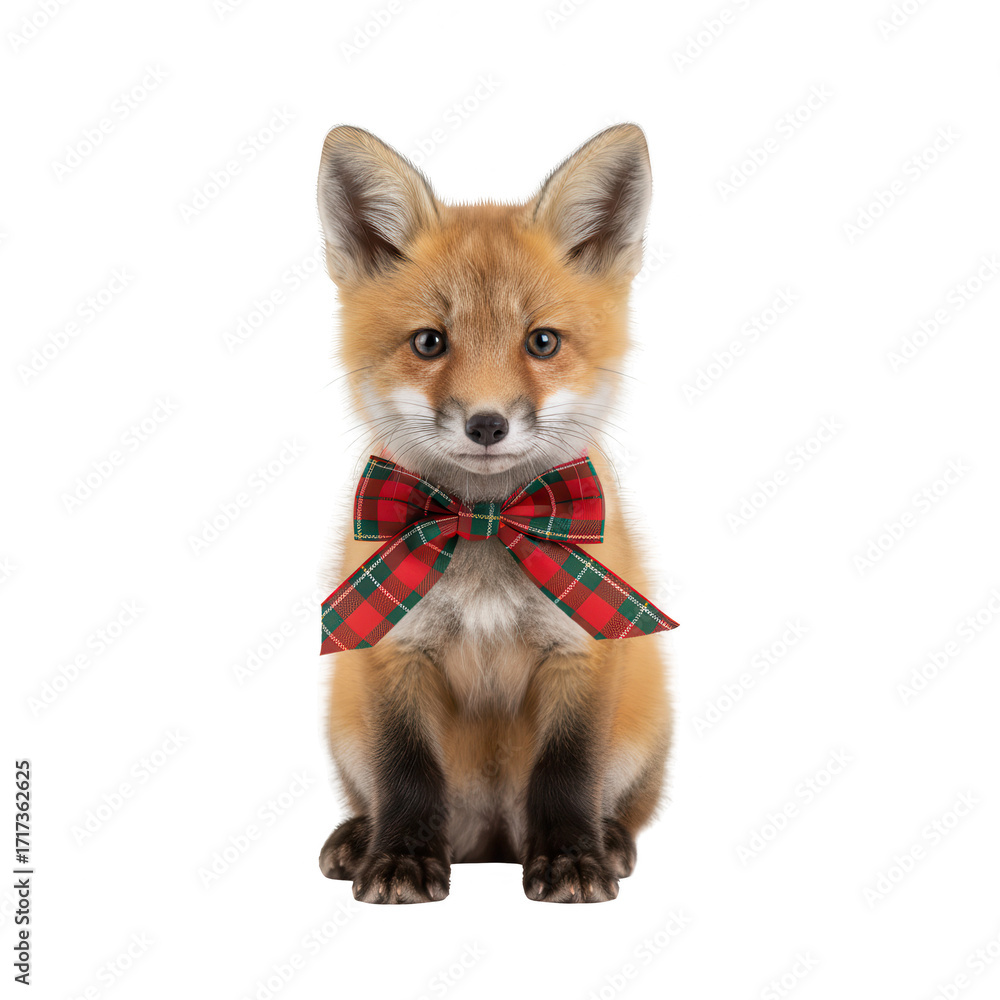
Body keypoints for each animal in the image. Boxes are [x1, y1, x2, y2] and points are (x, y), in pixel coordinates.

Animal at [315, 123, 673, 903]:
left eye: (542, 342)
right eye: (430, 342)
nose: (486, 424)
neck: (481, 524)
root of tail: (488, 842)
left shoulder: (581, 651)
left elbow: (566, 775)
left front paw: (572, 861)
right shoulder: (393, 651)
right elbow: (406, 774)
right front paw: (399, 861)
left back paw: (610, 842)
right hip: (343, 722)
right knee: (373, 793)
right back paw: (358, 838)